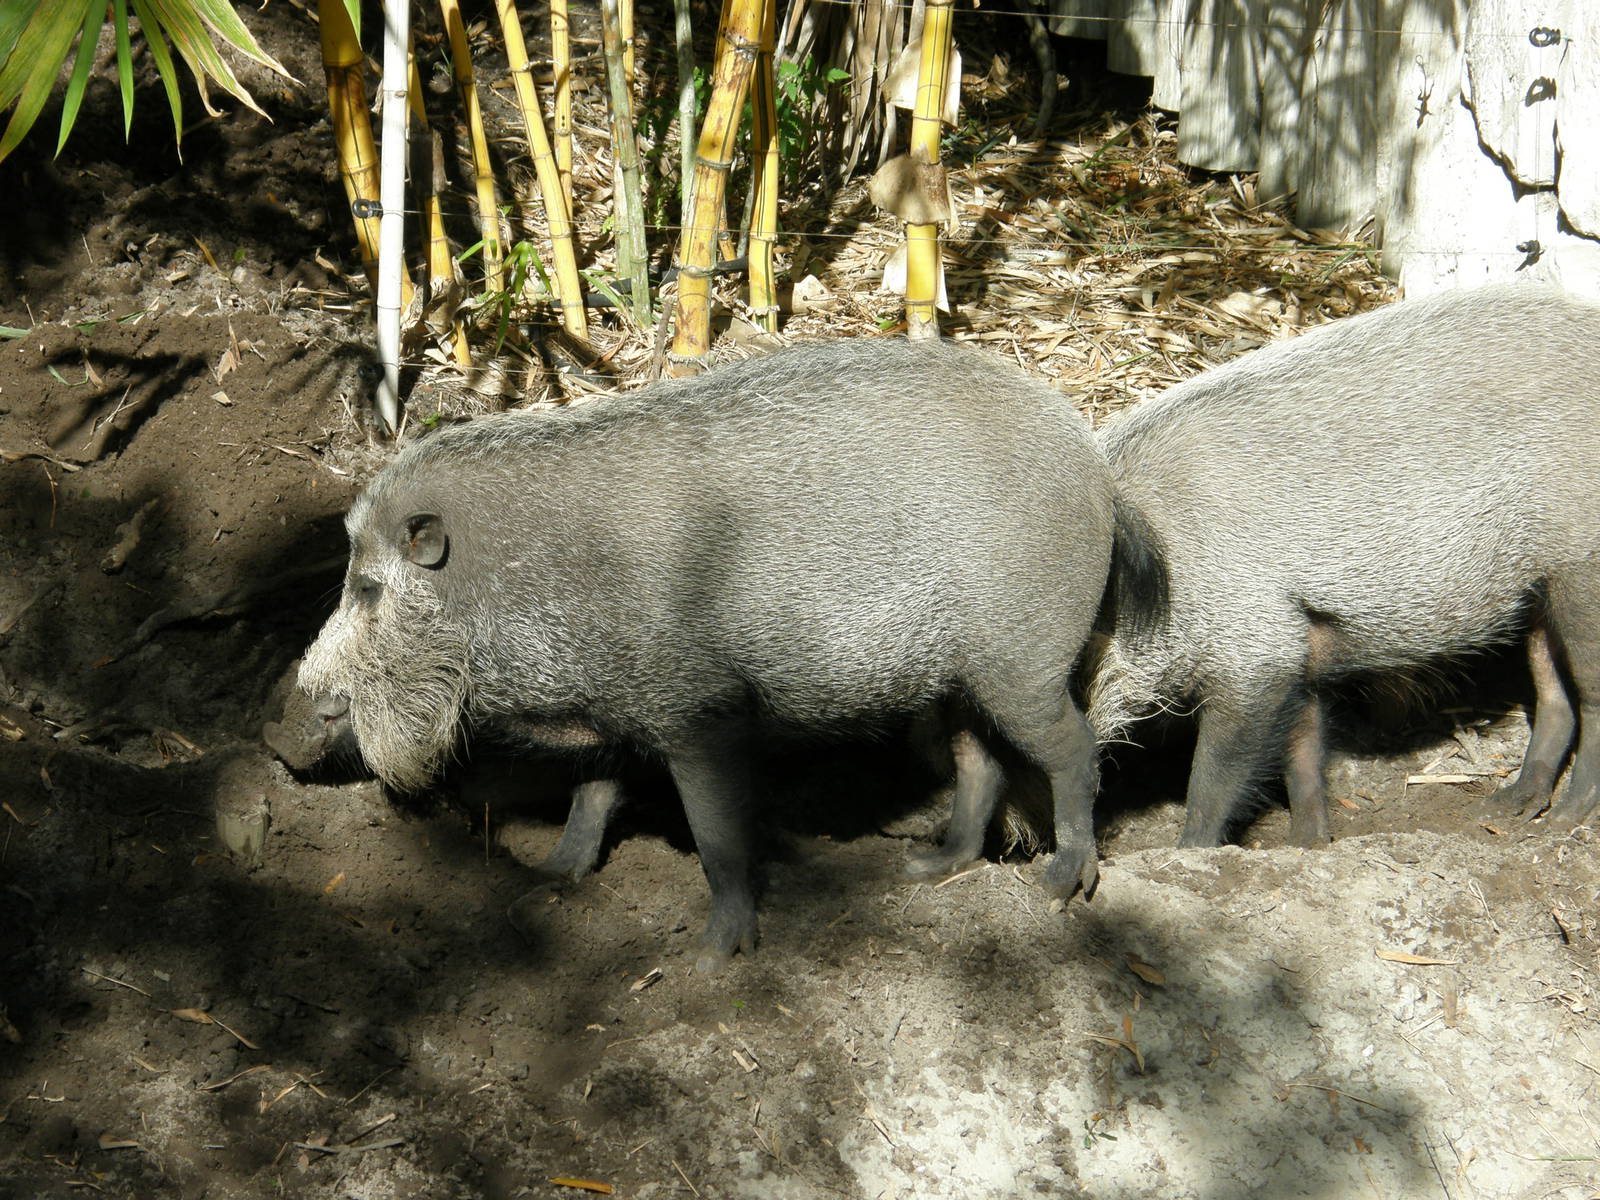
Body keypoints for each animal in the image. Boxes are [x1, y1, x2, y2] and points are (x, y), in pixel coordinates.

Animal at [300, 338, 1151, 970]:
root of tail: (1098, 471)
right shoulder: (616, 713)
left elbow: (716, 836)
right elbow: (592, 795)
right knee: (983, 763)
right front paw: (551, 880)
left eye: (369, 589)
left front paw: (708, 960)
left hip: (1023, 660)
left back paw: (1058, 886)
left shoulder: (698, 716)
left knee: (1073, 752)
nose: (289, 722)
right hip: (961, 676)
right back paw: (927, 868)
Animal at [1090, 281, 1600, 848]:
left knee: (1590, 696)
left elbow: (1214, 776)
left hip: (1583, 568)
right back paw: (1510, 809)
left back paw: (1564, 820)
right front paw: (1309, 845)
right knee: (1554, 694)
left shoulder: (1257, 654)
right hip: (1541, 585)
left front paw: (1191, 853)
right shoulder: (1299, 645)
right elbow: (1302, 753)